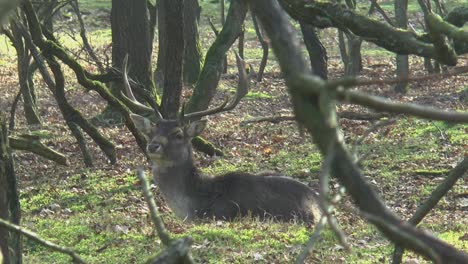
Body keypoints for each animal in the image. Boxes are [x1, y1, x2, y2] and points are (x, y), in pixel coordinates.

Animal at [122, 52, 322, 222]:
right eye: (150, 132)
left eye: (178, 134)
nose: (153, 146)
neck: (195, 204)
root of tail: (318, 204)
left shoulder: (221, 214)